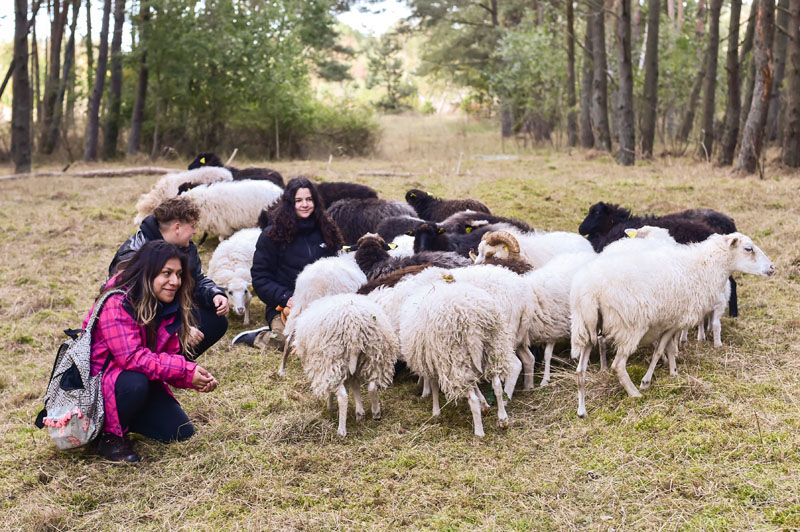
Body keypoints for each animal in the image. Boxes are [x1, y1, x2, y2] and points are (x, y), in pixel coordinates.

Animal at [572, 233, 772, 420]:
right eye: (748, 249)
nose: (772, 268)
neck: (704, 269)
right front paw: (647, 381)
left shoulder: (670, 321)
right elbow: (660, 350)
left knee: (580, 371)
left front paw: (673, 372)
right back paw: (635, 393)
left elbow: (667, 349)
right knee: (618, 366)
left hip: (586, 328)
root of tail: (589, 292)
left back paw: (582, 411)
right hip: (630, 326)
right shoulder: (674, 321)